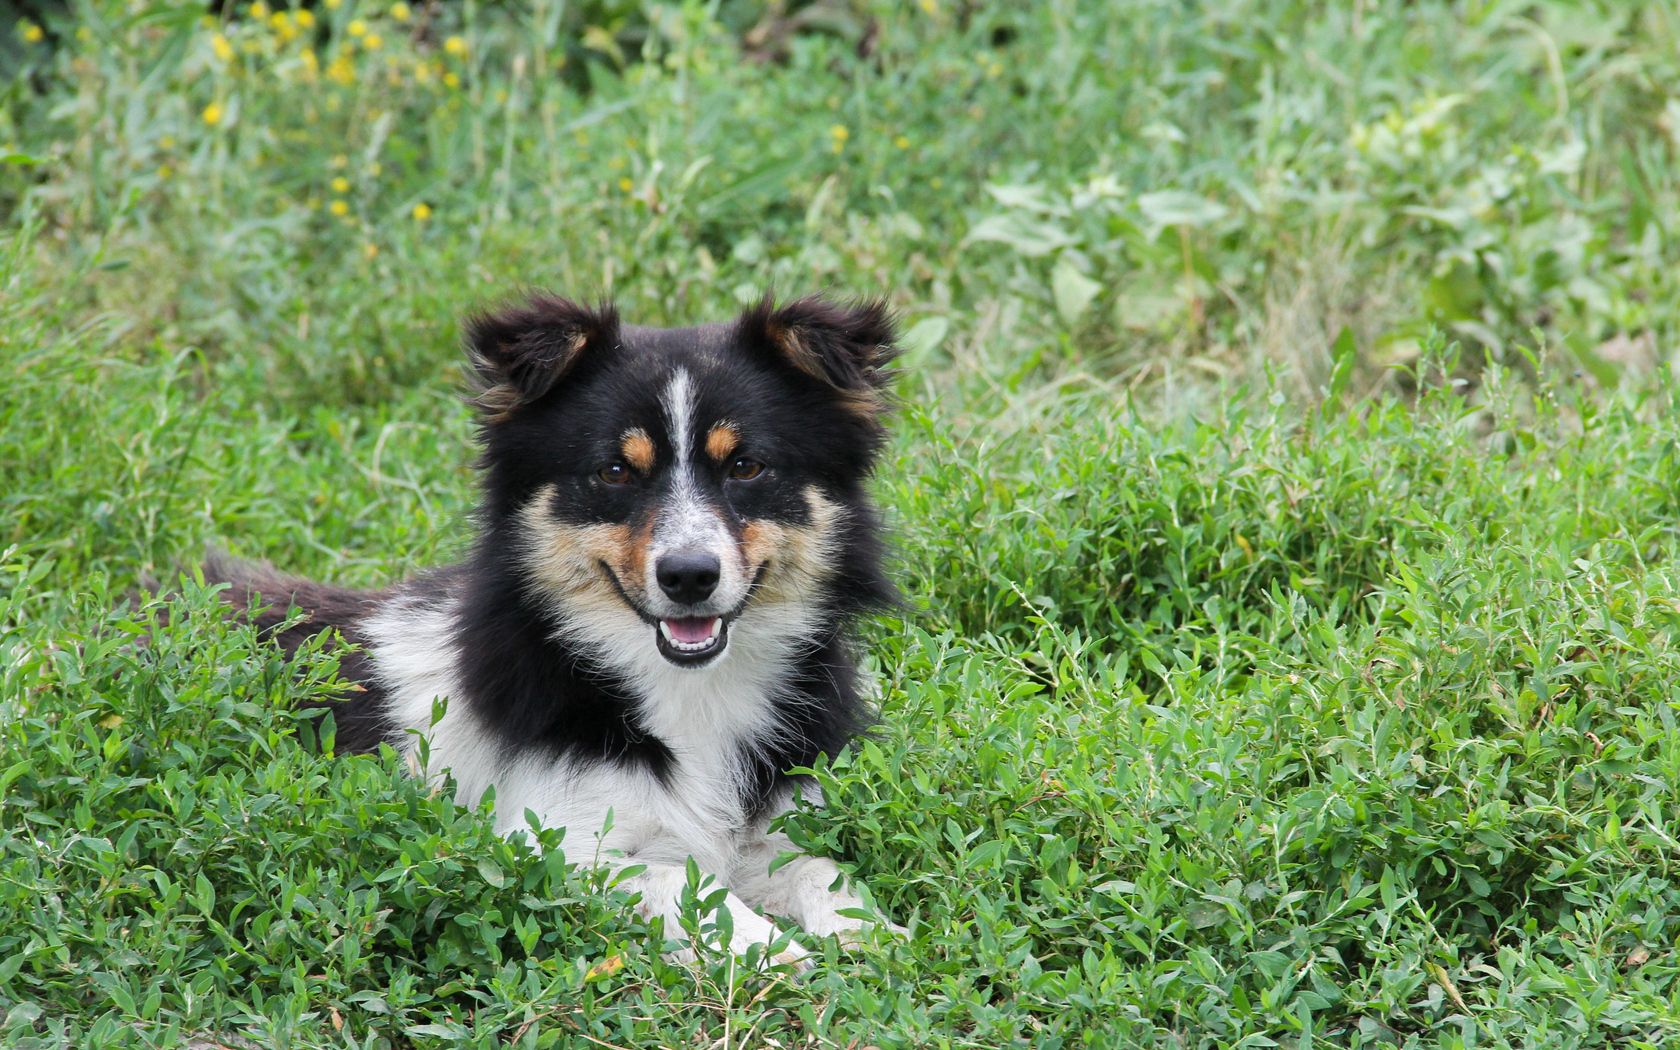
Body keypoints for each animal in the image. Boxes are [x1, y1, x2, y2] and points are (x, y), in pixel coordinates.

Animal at [210, 290, 907, 960]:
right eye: (615, 471)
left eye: (746, 467)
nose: (688, 576)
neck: (689, 691)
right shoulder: (552, 838)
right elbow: (671, 879)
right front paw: (765, 945)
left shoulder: (775, 819)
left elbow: (820, 869)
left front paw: (873, 933)